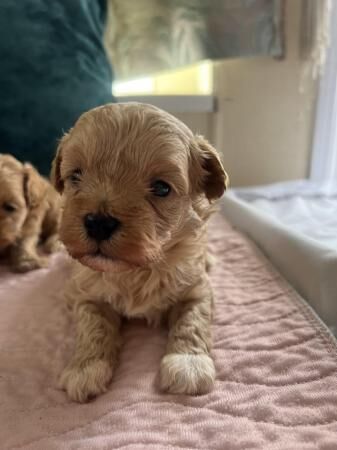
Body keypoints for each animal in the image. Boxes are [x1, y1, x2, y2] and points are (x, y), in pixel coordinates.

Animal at [51, 103, 227, 402]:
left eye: (162, 188)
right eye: (75, 176)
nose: (98, 223)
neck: (136, 270)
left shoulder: (198, 289)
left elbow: (192, 322)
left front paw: (188, 364)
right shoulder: (86, 294)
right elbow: (92, 326)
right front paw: (85, 368)